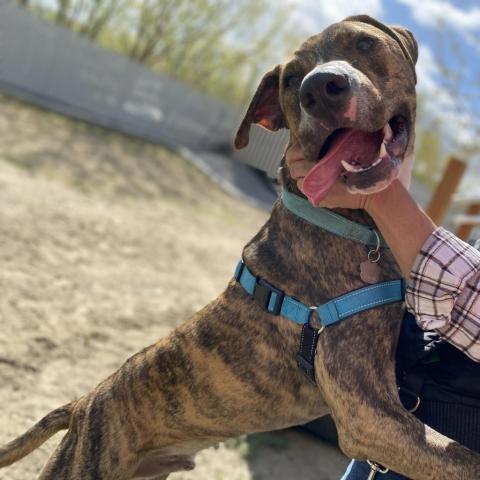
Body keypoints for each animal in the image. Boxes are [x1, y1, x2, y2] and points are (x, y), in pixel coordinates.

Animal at [0, 14, 480, 480]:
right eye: (291, 81)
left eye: (363, 43)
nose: (320, 89)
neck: (345, 223)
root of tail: (84, 404)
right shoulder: (369, 414)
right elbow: (462, 456)